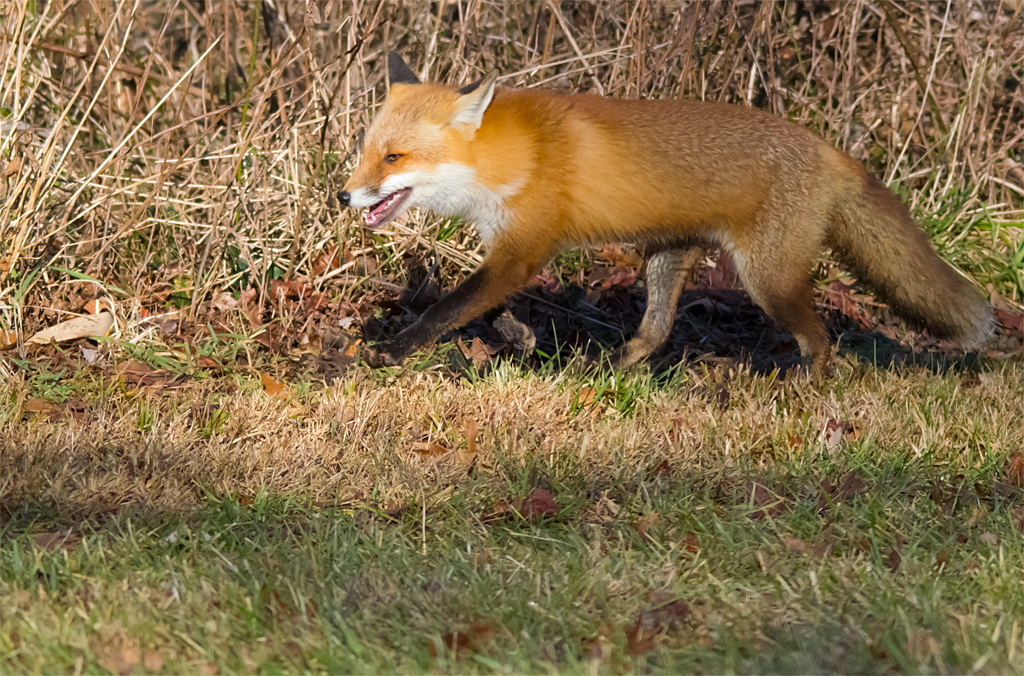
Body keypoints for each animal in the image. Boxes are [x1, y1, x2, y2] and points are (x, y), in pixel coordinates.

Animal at [338, 52, 992, 375]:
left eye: (394, 157)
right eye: (365, 151)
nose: (342, 198)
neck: (509, 157)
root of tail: (832, 150)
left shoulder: (525, 248)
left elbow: (446, 309)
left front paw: (392, 350)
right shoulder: (511, 251)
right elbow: (483, 306)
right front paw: (519, 337)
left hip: (767, 279)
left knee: (821, 342)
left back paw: (803, 395)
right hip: (667, 258)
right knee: (653, 333)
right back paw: (607, 371)